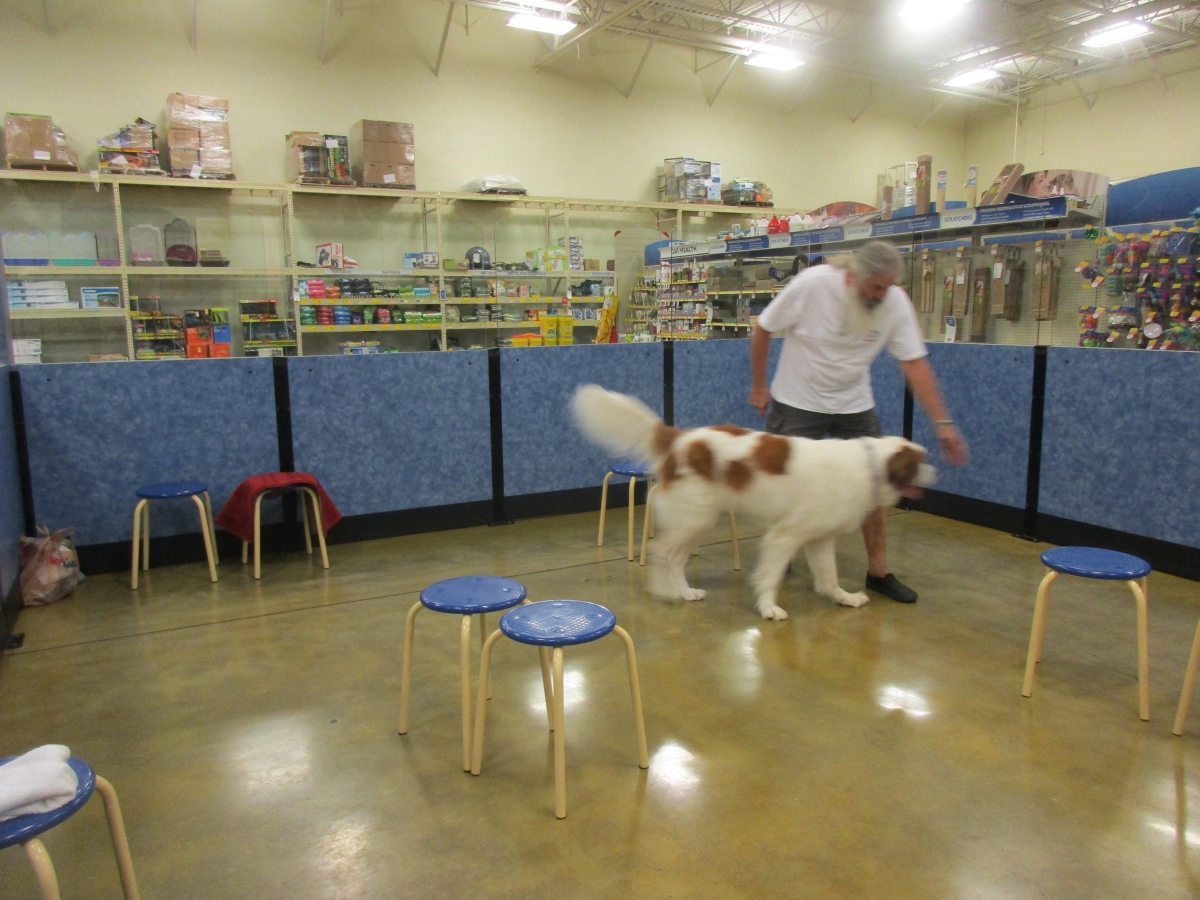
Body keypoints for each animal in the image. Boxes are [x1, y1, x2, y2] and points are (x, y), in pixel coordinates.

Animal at [571, 385, 936, 620]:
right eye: (919, 462)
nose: (936, 471)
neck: (869, 465)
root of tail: (681, 438)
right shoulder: (785, 536)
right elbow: (770, 576)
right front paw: (769, 608)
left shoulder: (819, 539)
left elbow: (829, 577)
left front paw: (844, 598)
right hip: (693, 518)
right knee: (663, 552)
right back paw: (665, 591)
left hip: (698, 521)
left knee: (675, 559)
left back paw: (686, 592)